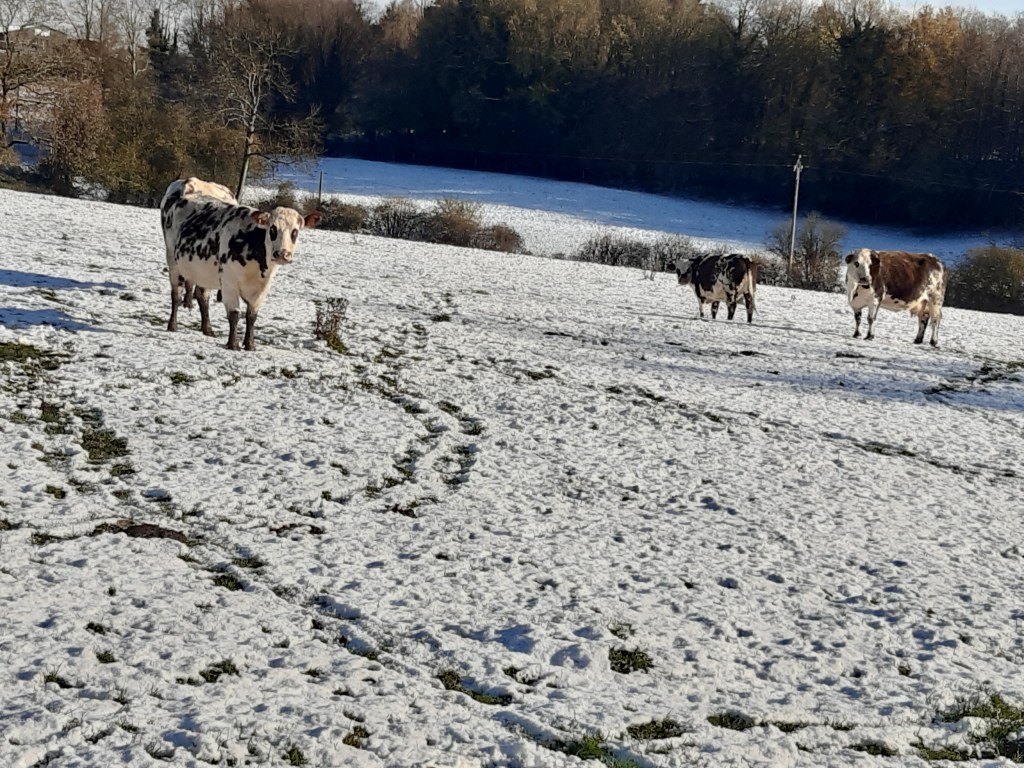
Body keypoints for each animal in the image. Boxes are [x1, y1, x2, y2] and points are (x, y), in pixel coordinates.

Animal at [160, 178, 320, 351]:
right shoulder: (229, 283)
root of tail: (189, 182)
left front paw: (250, 344)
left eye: (295, 232)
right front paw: (233, 344)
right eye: (272, 229)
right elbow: (235, 314)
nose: (282, 254)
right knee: (176, 295)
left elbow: (252, 316)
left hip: (203, 271)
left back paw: (207, 329)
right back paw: (172, 325)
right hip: (173, 260)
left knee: (202, 297)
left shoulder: (262, 288)